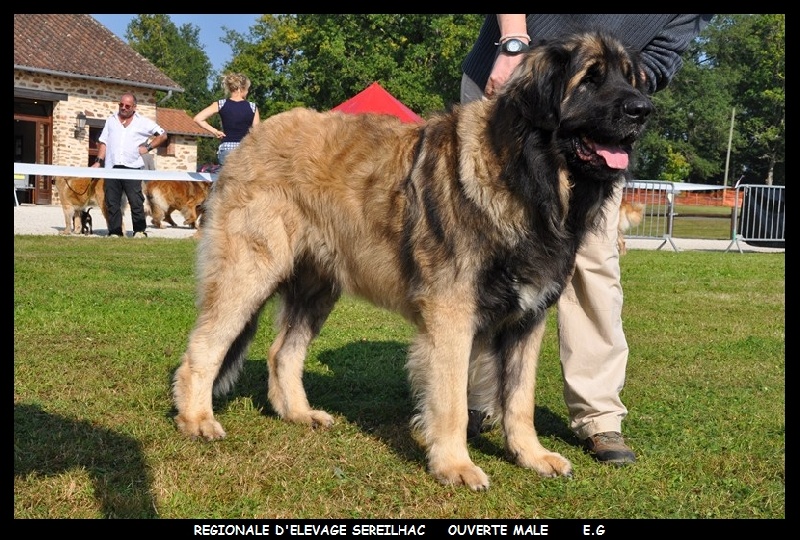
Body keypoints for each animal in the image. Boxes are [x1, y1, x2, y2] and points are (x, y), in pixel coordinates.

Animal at [173, 32, 648, 490]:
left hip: (316, 288)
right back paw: (197, 420)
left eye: (630, 79)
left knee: (282, 352)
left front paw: (531, 456)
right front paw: (455, 465)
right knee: (205, 347)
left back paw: (299, 414)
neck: (528, 178)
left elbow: (519, 399)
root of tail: (248, 143)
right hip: (248, 271)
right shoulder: (452, 314)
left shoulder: (527, 319)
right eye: (589, 79)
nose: (643, 109)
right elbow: (452, 399)